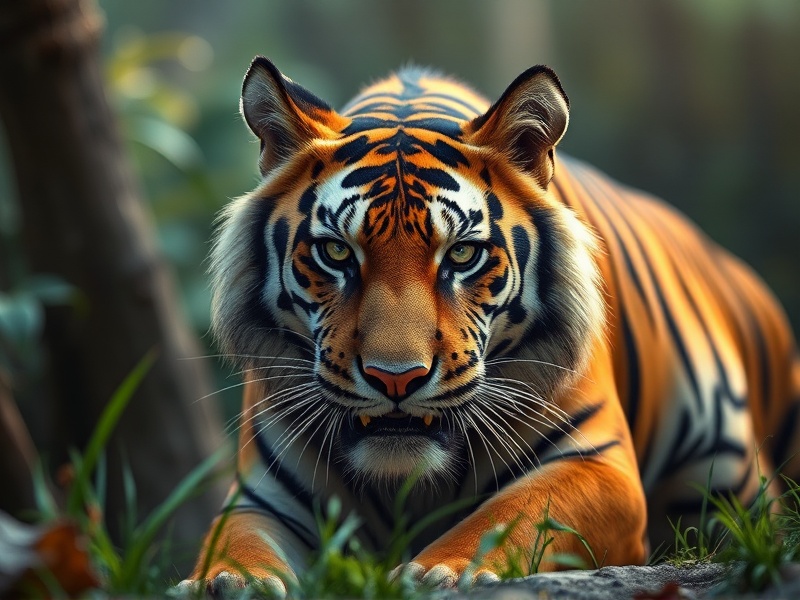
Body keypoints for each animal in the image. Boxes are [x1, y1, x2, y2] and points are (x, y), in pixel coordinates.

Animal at [180, 57, 800, 596]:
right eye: (336, 252)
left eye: (461, 255)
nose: (396, 379)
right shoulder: (261, 499)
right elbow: (232, 543)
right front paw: (228, 582)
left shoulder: (598, 464)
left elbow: (512, 514)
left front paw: (439, 571)